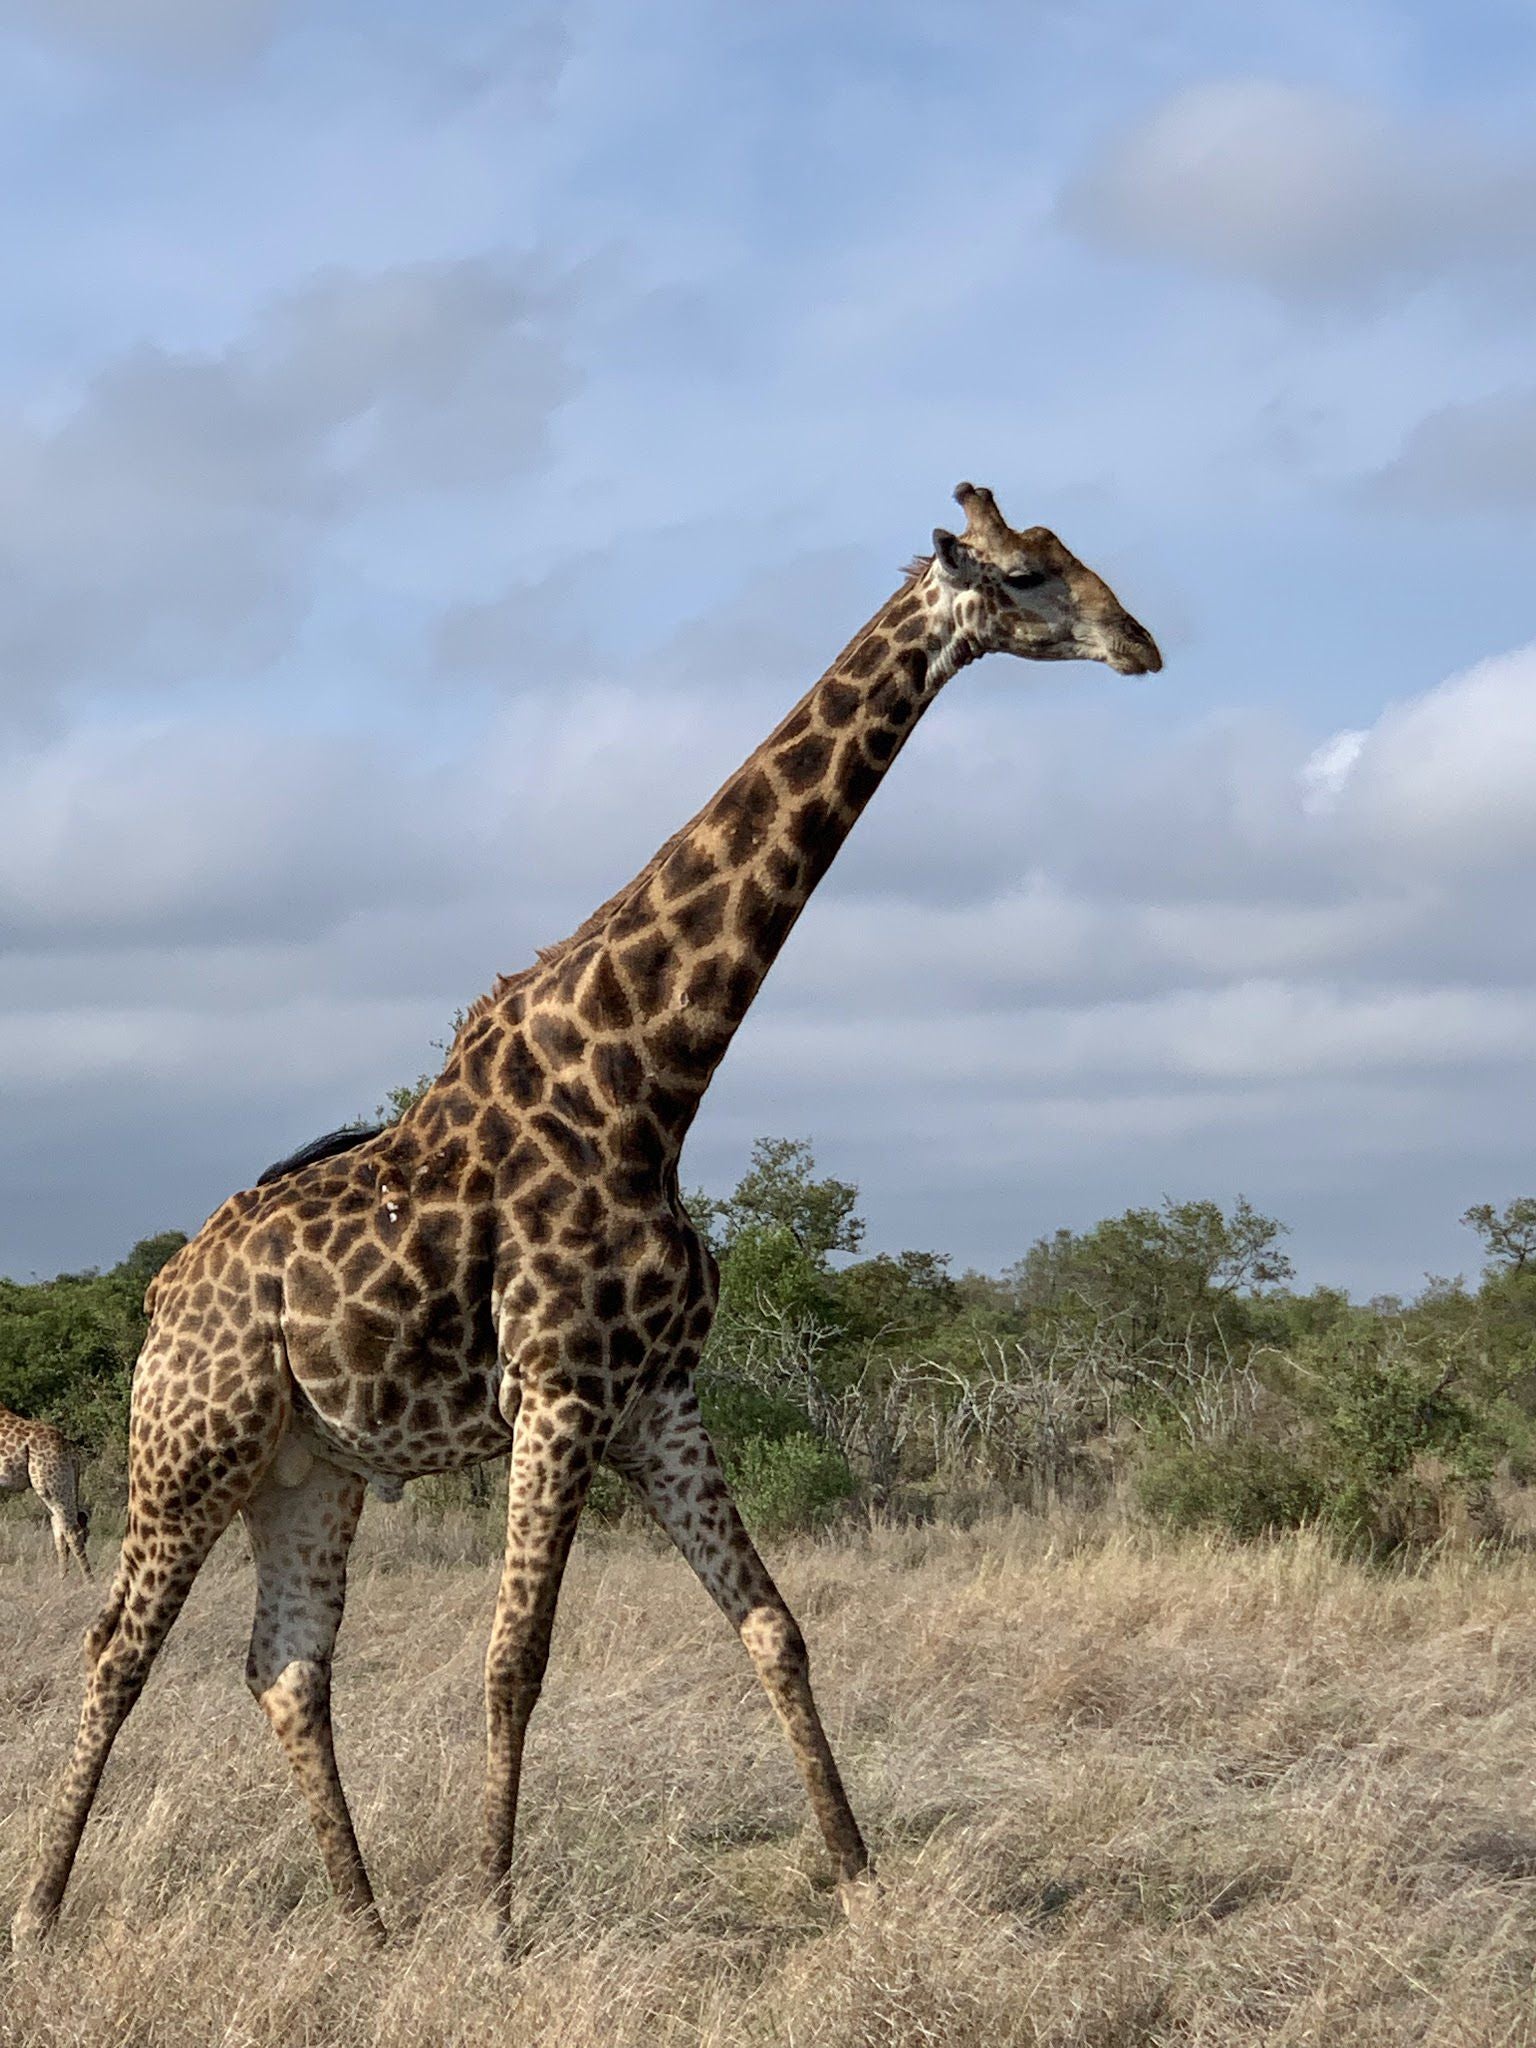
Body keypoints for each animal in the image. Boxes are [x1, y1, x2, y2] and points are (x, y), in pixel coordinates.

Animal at [0, 1409, 90, 1581]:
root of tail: (72, 1454)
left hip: (49, 1484)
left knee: (71, 1530)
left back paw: (90, 1582)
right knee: (60, 1526)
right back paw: (62, 1579)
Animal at [15, 483, 1163, 1949]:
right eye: (1024, 576)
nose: (1141, 644)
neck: (647, 1079)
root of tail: (164, 1291)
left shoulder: (656, 1398)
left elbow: (774, 1625)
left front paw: (858, 1882)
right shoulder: (558, 1388)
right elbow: (516, 1659)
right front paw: (497, 1921)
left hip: (310, 1465)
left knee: (285, 1662)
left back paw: (366, 1924)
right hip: (190, 1438)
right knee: (117, 1646)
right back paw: (46, 1911)